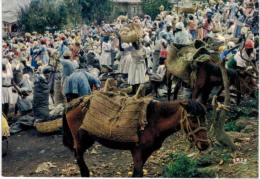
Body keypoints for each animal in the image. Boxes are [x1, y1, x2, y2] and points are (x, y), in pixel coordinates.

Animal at [62, 98, 209, 177]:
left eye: (204, 117)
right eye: (193, 119)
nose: (205, 145)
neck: (153, 121)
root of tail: (72, 104)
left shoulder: (147, 152)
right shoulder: (137, 151)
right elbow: (138, 173)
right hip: (81, 141)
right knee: (79, 157)